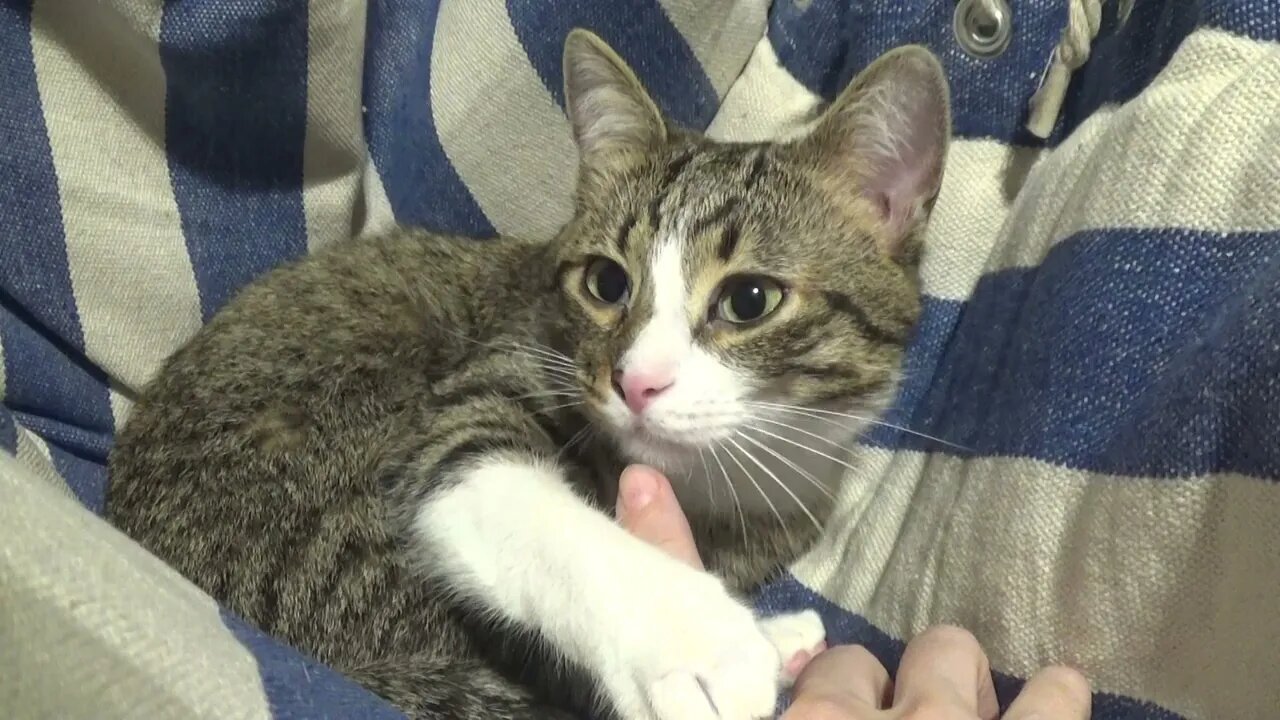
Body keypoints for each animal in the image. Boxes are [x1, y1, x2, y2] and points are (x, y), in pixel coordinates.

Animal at [104, 29, 952, 717]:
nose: (636, 382)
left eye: (749, 300)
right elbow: (503, 490)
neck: (720, 487)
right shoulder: (494, 381)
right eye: (607, 283)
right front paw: (694, 644)